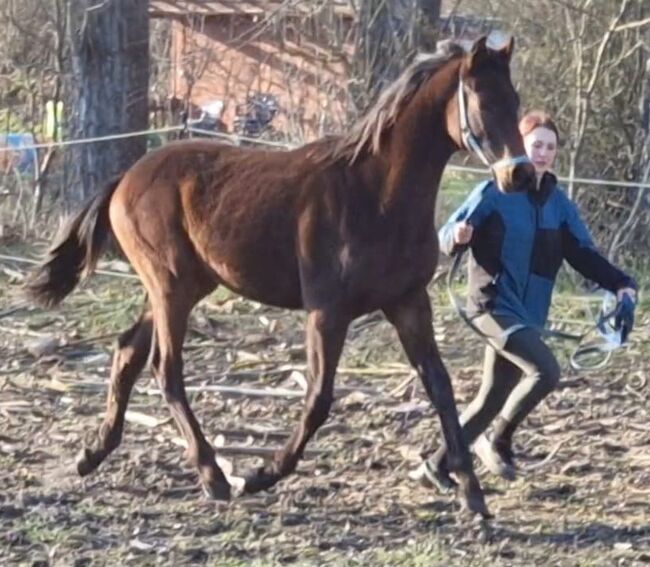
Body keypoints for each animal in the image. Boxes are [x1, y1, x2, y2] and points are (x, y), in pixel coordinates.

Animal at [25, 36, 532, 520]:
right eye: (482, 100)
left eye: (515, 99)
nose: (519, 174)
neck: (376, 195)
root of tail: (126, 177)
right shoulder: (327, 311)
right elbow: (319, 397)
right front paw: (262, 475)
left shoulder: (408, 303)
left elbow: (441, 388)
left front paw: (470, 491)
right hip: (170, 288)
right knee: (165, 369)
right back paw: (213, 476)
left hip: (183, 287)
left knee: (128, 350)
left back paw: (93, 453)